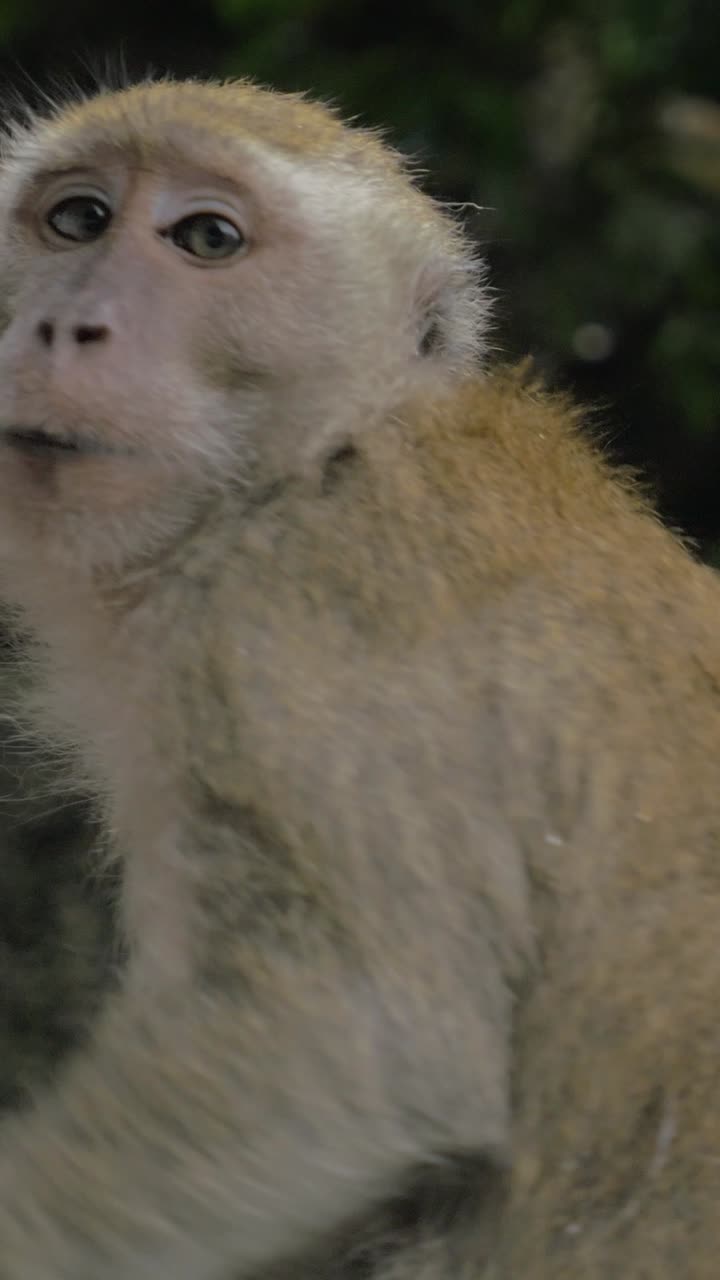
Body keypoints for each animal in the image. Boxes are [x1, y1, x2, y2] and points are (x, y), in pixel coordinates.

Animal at [0, 75, 718, 1280]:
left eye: (207, 239)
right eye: (77, 220)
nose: (63, 323)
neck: (320, 456)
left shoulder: (290, 634)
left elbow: (361, 1040)